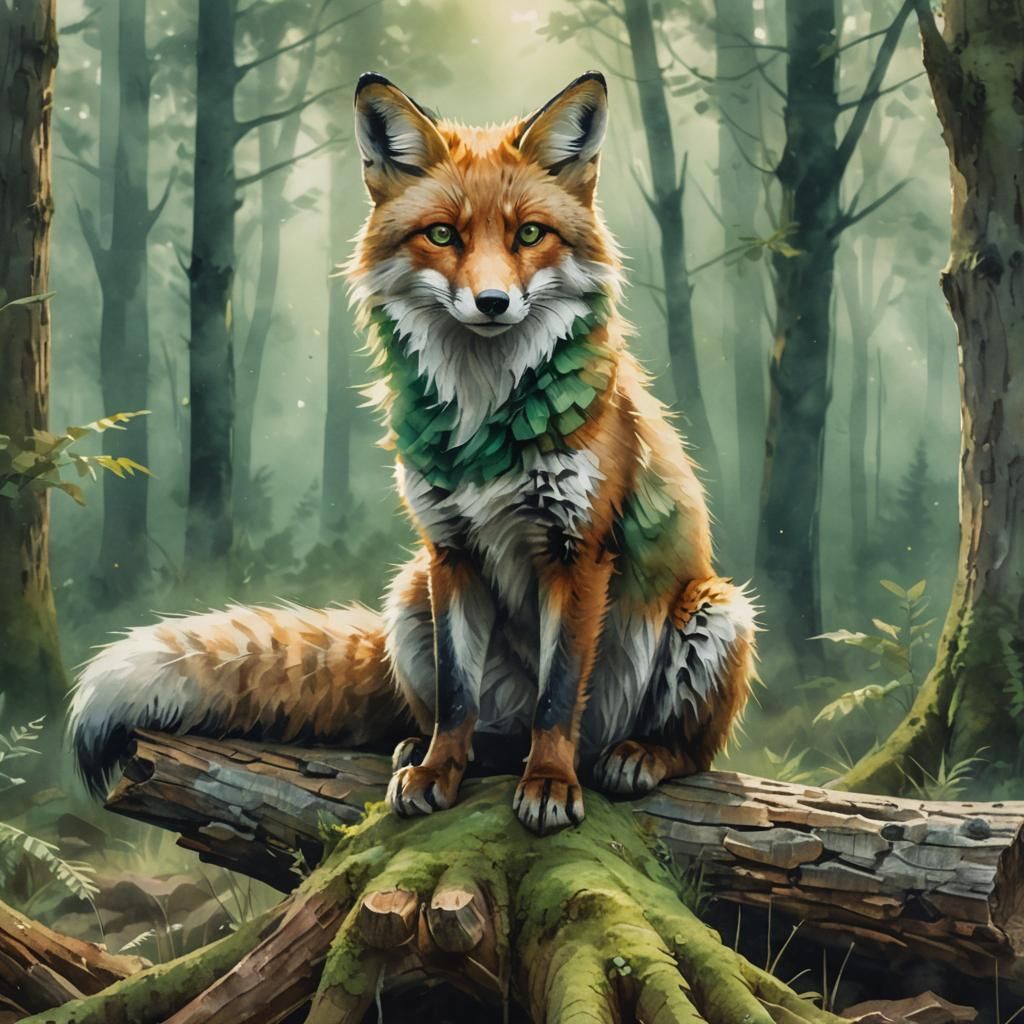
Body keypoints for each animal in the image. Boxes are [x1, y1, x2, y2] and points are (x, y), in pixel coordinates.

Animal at [69, 71, 756, 836]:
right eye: (442, 235)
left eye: (528, 234)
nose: (493, 302)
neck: (486, 423)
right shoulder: (450, 551)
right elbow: (456, 698)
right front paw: (438, 772)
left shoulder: (576, 551)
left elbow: (556, 698)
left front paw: (550, 783)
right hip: (408, 595)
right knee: (475, 720)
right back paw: (441, 750)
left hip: (715, 611)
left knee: (686, 748)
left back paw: (635, 755)